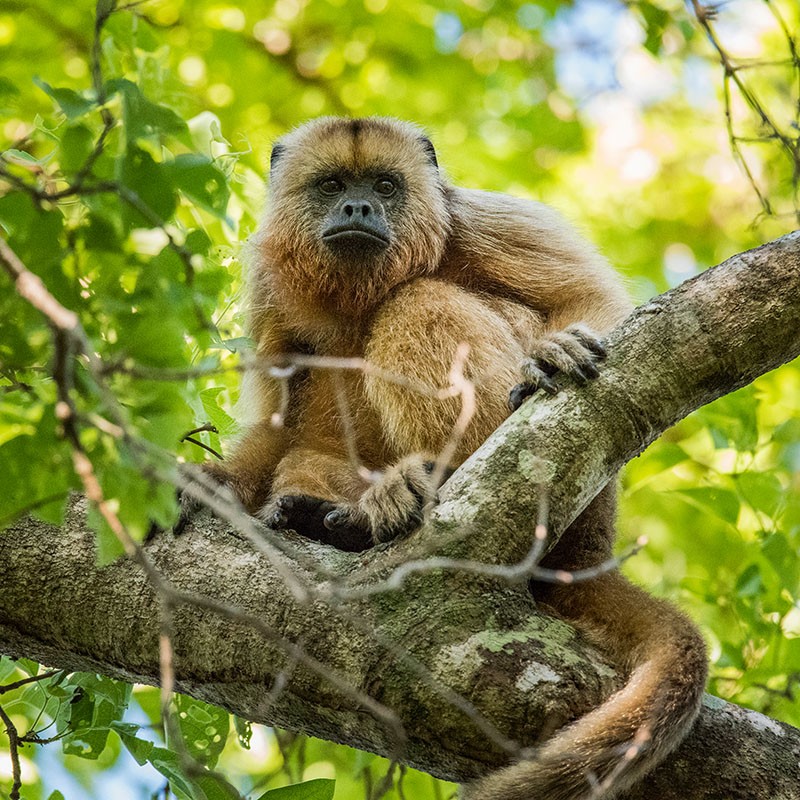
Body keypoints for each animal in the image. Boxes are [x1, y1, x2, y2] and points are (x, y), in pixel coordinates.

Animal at [195, 116, 707, 799]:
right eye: (333, 186)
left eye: (384, 186)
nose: (358, 207)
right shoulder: (269, 283)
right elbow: (275, 422)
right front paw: (216, 481)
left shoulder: (477, 218)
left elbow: (588, 297)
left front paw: (558, 349)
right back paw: (338, 516)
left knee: (418, 300)